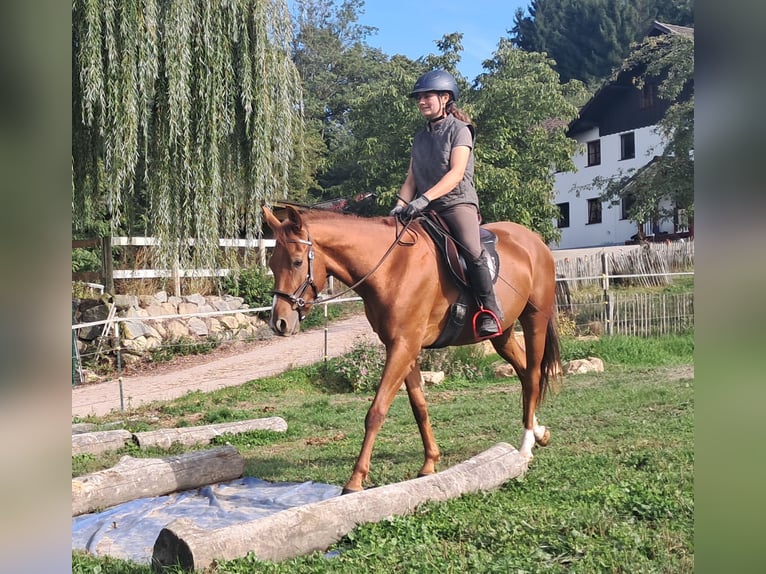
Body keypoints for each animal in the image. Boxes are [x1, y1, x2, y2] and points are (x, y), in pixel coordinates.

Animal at [263, 205, 562, 494]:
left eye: (297, 261)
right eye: (271, 264)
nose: (279, 322)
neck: (392, 267)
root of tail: (534, 241)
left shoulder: (403, 346)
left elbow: (376, 411)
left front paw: (355, 480)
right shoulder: (403, 346)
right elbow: (419, 406)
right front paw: (430, 463)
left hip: (534, 322)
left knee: (533, 375)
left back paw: (525, 446)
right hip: (503, 333)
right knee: (524, 373)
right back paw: (539, 432)